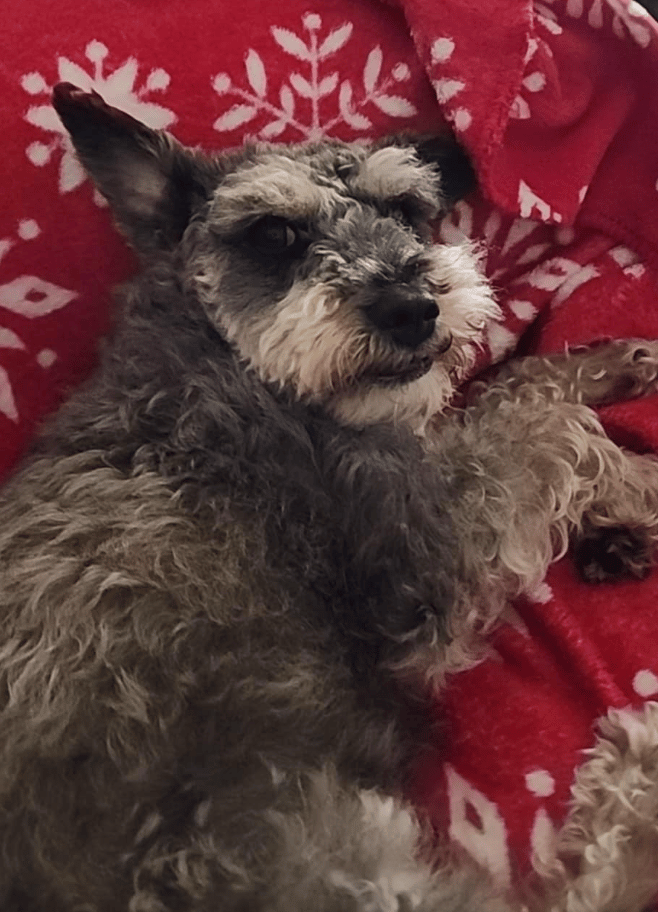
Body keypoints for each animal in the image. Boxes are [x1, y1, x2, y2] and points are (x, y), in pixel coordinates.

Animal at [1, 82, 658, 912]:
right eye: (274, 233)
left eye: (405, 208)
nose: (412, 306)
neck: (236, 362)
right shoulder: (423, 560)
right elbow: (546, 428)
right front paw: (642, 487)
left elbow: (510, 388)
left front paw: (614, 365)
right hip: (288, 853)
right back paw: (642, 777)